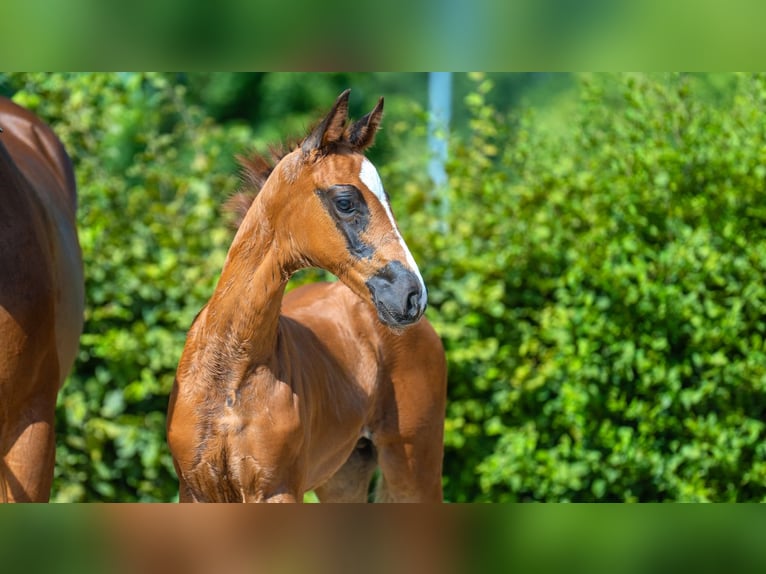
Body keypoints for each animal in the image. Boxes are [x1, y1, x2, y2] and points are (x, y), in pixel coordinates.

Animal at [165, 90, 448, 504]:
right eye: (345, 201)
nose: (412, 295)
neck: (229, 373)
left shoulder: (277, 490)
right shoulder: (195, 490)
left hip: (414, 467)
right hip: (344, 473)